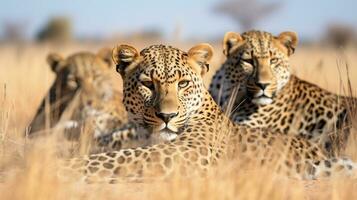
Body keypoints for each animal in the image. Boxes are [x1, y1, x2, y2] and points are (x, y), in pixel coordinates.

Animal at [59, 43, 354, 183]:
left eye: (182, 84)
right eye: (148, 84)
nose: (167, 116)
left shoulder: (179, 155)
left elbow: (112, 159)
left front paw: (64, 165)